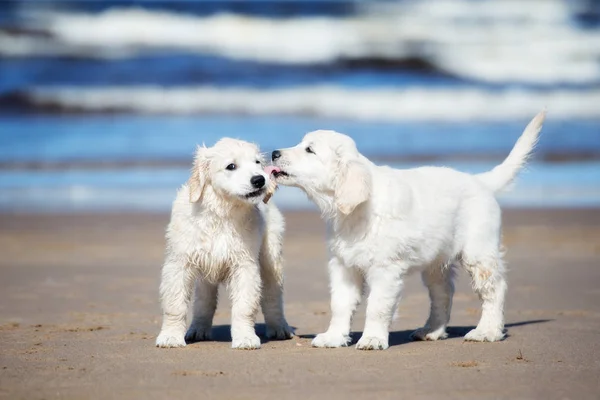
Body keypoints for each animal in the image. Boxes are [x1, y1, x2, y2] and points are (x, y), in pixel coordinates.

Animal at [157, 138, 292, 350]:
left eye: (257, 163)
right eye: (231, 166)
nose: (260, 179)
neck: (222, 212)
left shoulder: (244, 265)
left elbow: (244, 306)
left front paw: (245, 337)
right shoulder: (179, 263)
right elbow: (175, 304)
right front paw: (170, 336)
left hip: (271, 256)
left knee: (273, 295)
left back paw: (279, 327)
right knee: (204, 300)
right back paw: (198, 329)